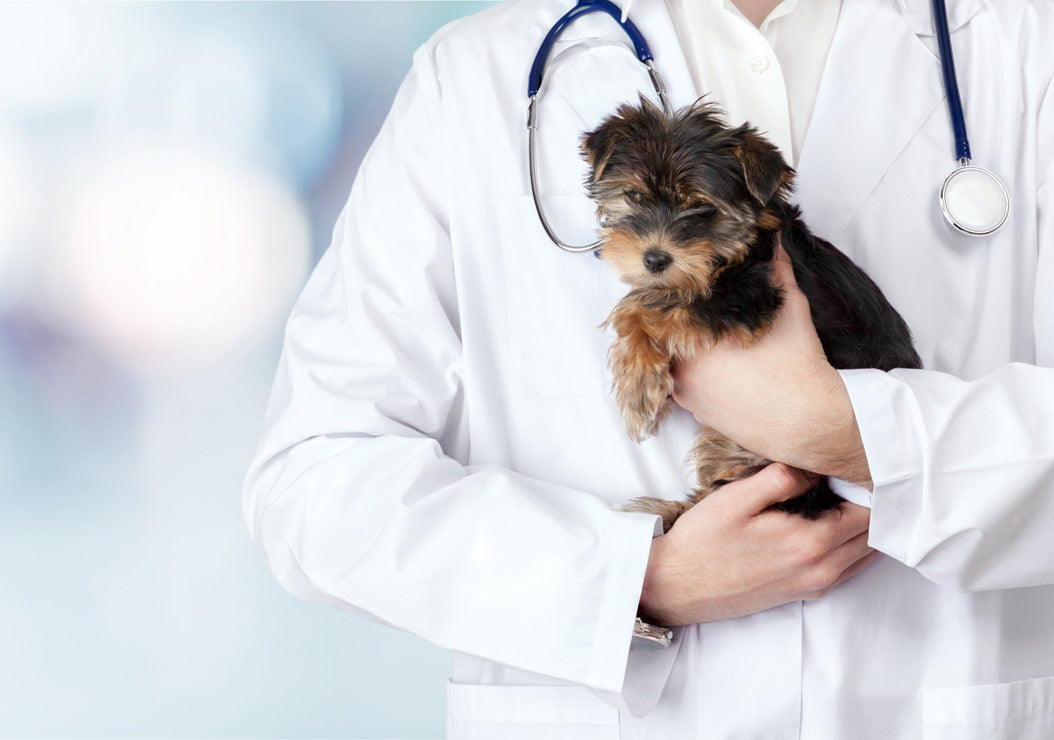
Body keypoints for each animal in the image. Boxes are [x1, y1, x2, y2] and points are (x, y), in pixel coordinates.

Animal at [581, 98, 919, 531]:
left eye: (702, 209)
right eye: (634, 196)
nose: (654, 259)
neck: (736, 248)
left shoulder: (749, 297)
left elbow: (644, 308)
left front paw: (638, 390)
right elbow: (653, 298)